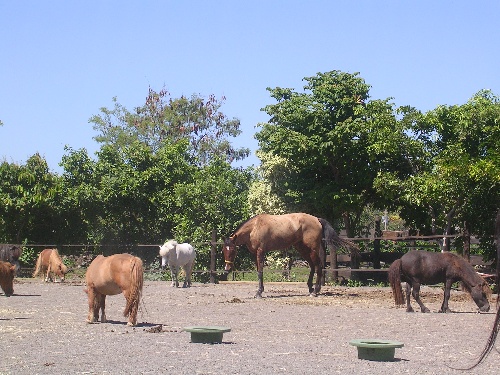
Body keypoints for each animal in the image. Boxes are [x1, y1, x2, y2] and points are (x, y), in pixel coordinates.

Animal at [223, 213, 356, 298]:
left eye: (233, 251)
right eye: (224, 251)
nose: (226, 269)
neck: (254, 228)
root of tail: (317, 219)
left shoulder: (260, 252)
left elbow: (260, 272)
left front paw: (259, 293)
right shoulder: (255, 254)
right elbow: (258, 272)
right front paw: (260, 291)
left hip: (312, 249)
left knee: (318, 267)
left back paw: (315, 291)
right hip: (302, 249)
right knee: (313, 266)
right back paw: (310, 288)